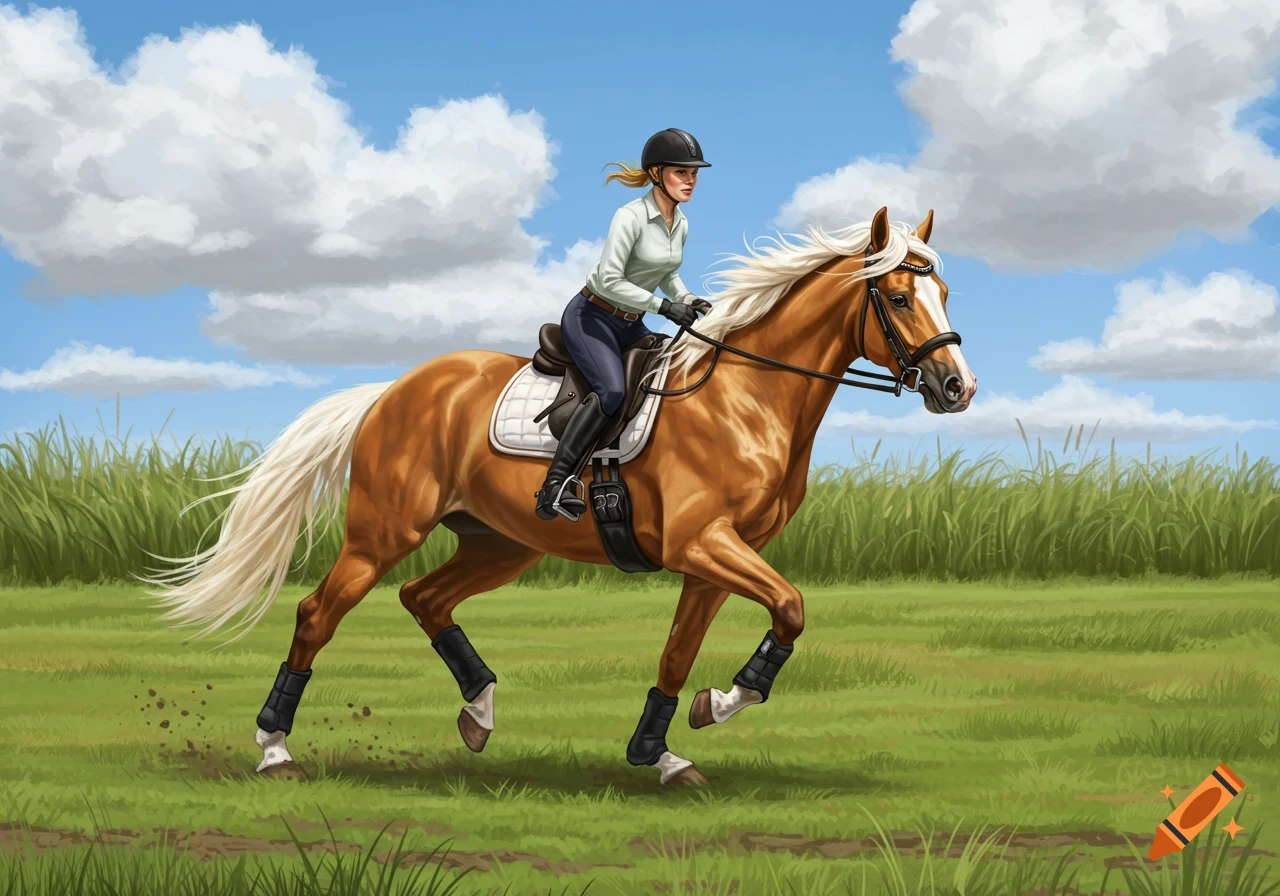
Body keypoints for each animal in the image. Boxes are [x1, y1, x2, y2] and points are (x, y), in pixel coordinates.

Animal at [140, 206, 977, 787]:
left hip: (500, 542)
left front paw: (666, 747)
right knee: (320, 613)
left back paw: (478, 713)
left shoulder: (713, 560)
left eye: (942, 289)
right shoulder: (704, 543)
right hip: (384, 533)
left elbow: (682, 651)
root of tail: (393, 392)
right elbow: (793, 608)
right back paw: (274, 748)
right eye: (898, 297)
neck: (747, 397)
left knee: (424, 598)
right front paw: (716, 707)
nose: (957, 389)